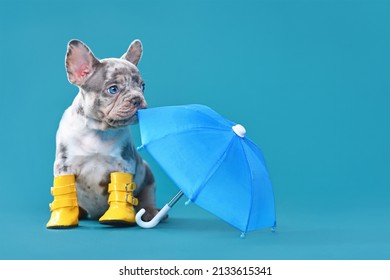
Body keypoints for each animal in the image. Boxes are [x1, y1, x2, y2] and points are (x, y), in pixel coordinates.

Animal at [52, 39, 159, 223]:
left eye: (142, 86)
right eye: (113, 89)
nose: (137, 99)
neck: (98, 130)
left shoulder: (123, 164)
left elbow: (121, 191)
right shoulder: (64, 166)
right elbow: (64, 191)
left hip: (147, 174)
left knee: (148, 195)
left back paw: (152, 212)